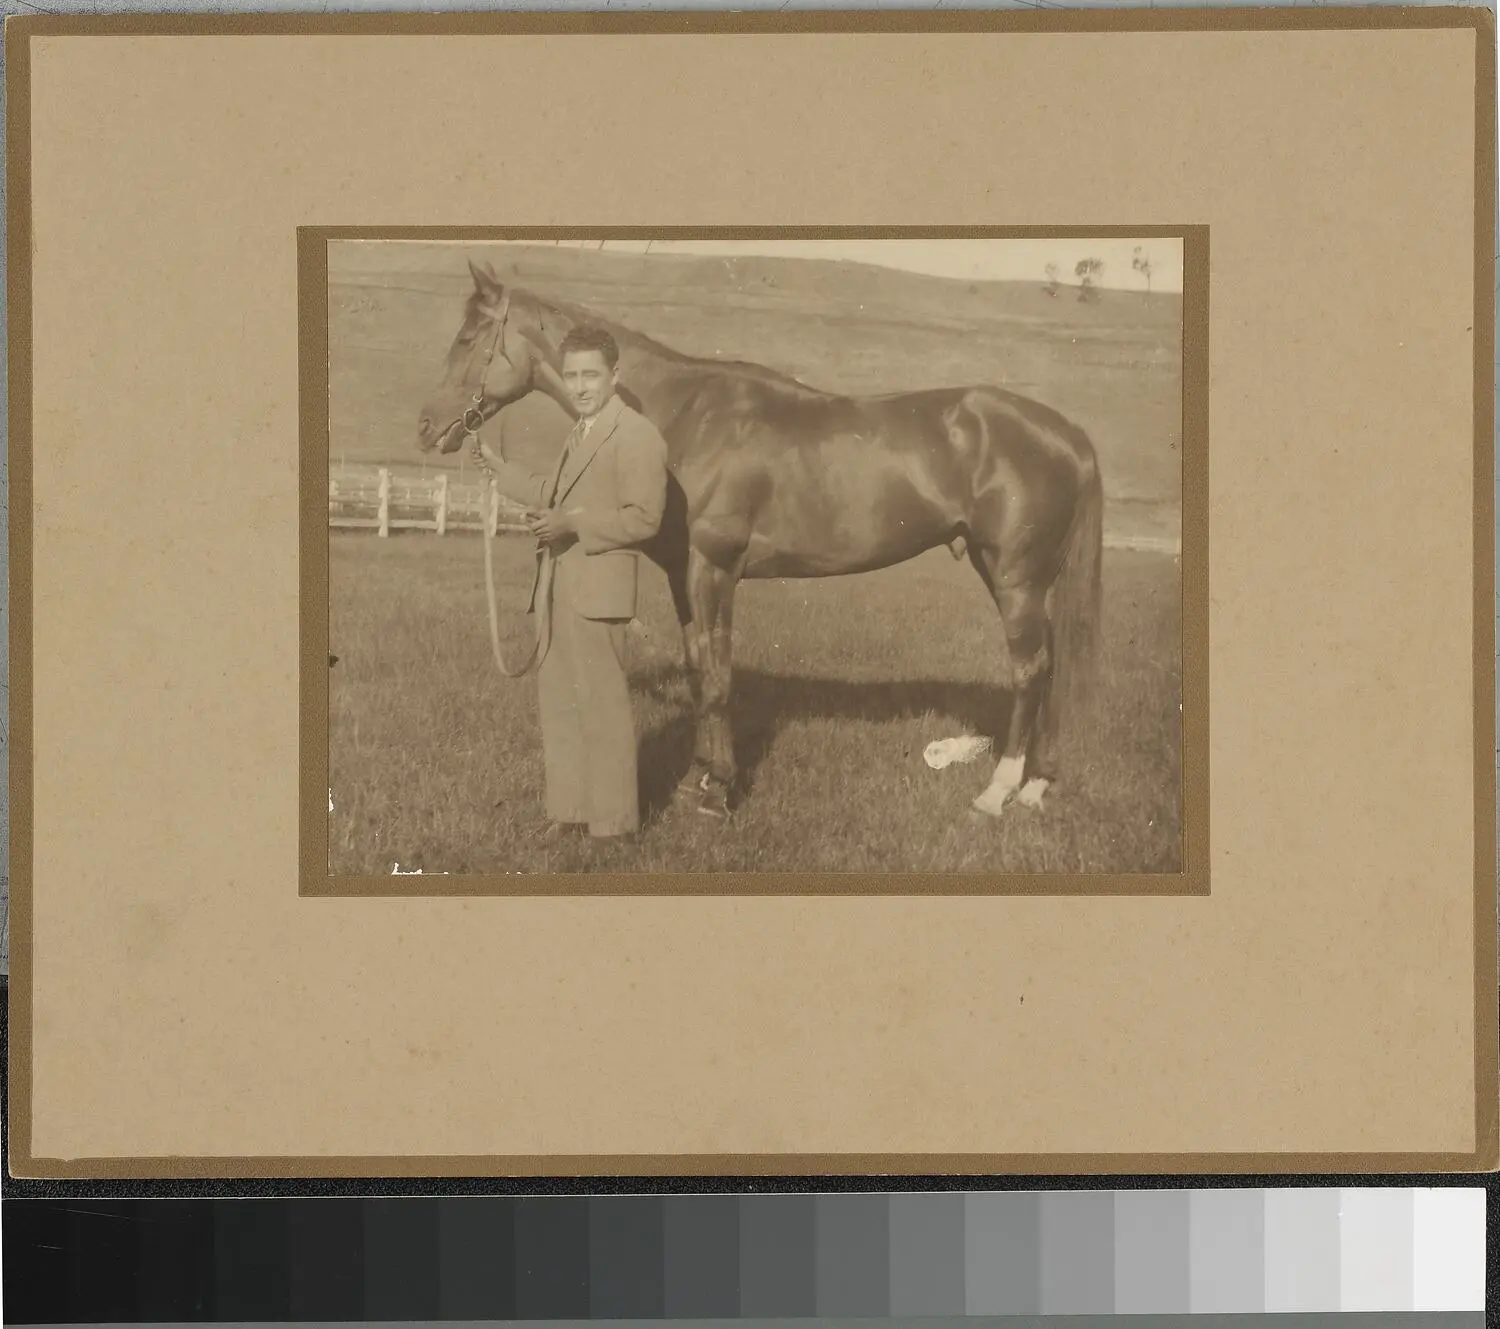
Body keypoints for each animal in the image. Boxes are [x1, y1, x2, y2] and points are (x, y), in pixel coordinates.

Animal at [420, 259, 1104, 822]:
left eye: (468, 337)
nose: (428, 427)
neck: (682, 415)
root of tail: (1067, 434)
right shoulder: (683, 577)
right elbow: (701, 672)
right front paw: (698, 777)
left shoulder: (713, 568)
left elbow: (720, 679)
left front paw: (719, 790)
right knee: (1049, 669)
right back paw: (1038, 786)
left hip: (1015, 579)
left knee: (1030, 671)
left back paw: (999, 791)